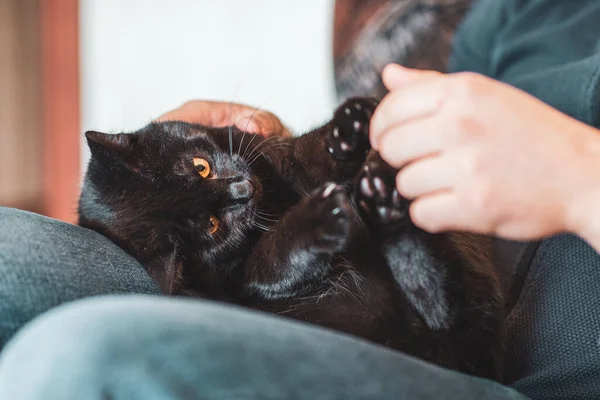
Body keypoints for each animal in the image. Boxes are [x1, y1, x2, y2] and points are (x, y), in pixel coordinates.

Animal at [77, 98, 504, 380]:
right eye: (211, 225)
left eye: (201, 168)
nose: (242, 190)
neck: (276, 198)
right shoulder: (247, 280)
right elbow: (275, 255)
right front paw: (316, 220)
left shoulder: (284, 157)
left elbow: (314, 152)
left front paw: (349, 126)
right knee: (446, 308)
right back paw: (382, 203)